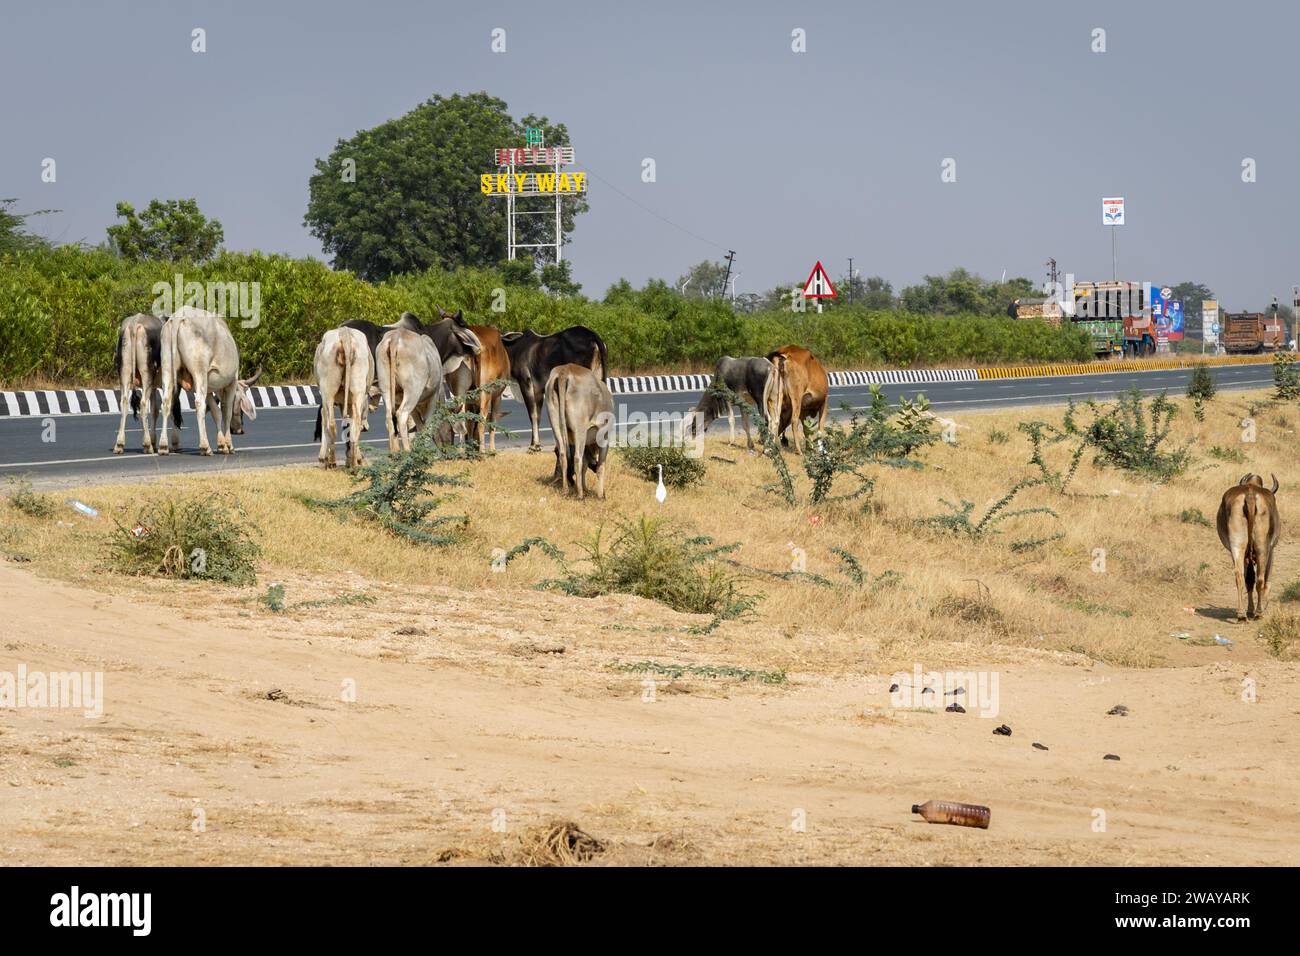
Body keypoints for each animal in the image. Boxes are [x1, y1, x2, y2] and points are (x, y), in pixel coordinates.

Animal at [312, 327, 379, 468]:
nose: (367, 427)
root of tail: (345, 333)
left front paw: (324, 457)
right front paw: (354, 458)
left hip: (328, 391)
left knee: (331, 423)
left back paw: (332, 461)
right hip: (357, 390)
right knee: (354, 425)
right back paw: (353, 463)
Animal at [1216, 476, 1279, 624]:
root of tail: (1250, 494)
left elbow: (1248, 579)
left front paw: (1250, 609)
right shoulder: (1271, 549)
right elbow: (1265, 578)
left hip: (1237, 546)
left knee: (1239, 576)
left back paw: (1242, 615)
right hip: (1262, 547)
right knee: (1260, 578)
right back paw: (1258, 613)